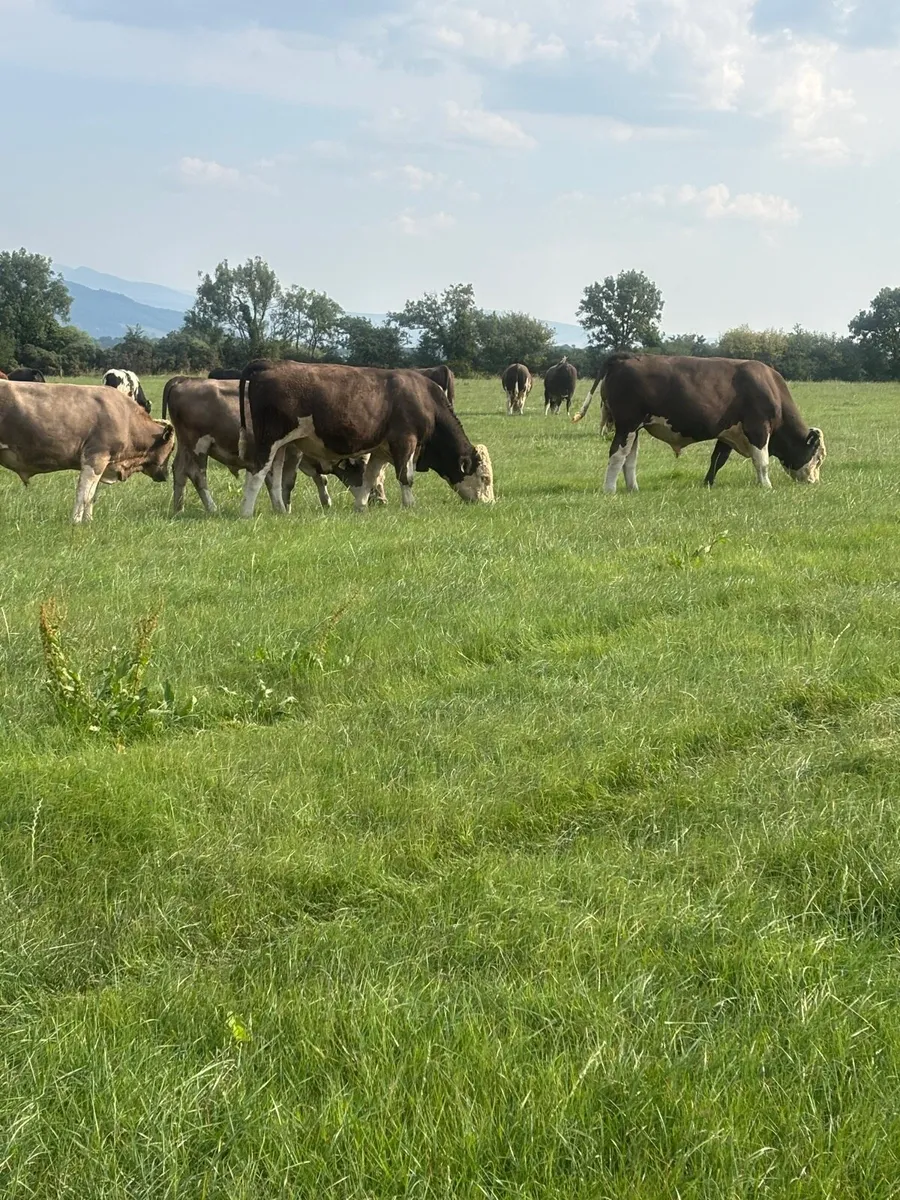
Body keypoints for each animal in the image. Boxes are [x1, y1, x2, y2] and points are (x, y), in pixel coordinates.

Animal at [0, 380, 175, 522]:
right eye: (172, 448)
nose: (166, 475)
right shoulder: (95, 458)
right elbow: (83, 495)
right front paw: (76, 522)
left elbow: (91, 497)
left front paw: (88, 521)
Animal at [161, 376, 383, 514]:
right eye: (366, 471)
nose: (381, 501)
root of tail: (185, 380)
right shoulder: (293, 453)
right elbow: (286, 481)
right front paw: (286, 508)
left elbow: (317, 479)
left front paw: (325, 502)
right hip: (198, 446)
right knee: (197, 474)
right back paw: (211, 508)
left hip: (184, 446)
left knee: (179, 470)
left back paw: (178, 508)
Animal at [238, 360, 493, 517]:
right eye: (485, 478)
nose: (490, 504)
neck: (425, 399)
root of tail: (271, 363)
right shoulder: (406, 441)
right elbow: (406, 477)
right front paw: (410, 504)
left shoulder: (381, 449)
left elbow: (370, 476)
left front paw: (360, 506)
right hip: (269, 441)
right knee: (257, 473)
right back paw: (246, 512)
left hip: (282, 446)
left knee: (274, 475)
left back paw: (280, 510)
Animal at [573, 352, 826, 493]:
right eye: (818, 458)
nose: (814, 481)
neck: (769, 386)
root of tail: (625, 357)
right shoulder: (759, 429)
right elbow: (762, 462)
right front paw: (766, 486)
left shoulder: (728, 433)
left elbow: (717, 460)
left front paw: (707, 483)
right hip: (627, 425)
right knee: (617, 455)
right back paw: (610, 489)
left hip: (635, 429)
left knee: (629, 459)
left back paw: (633, 488)